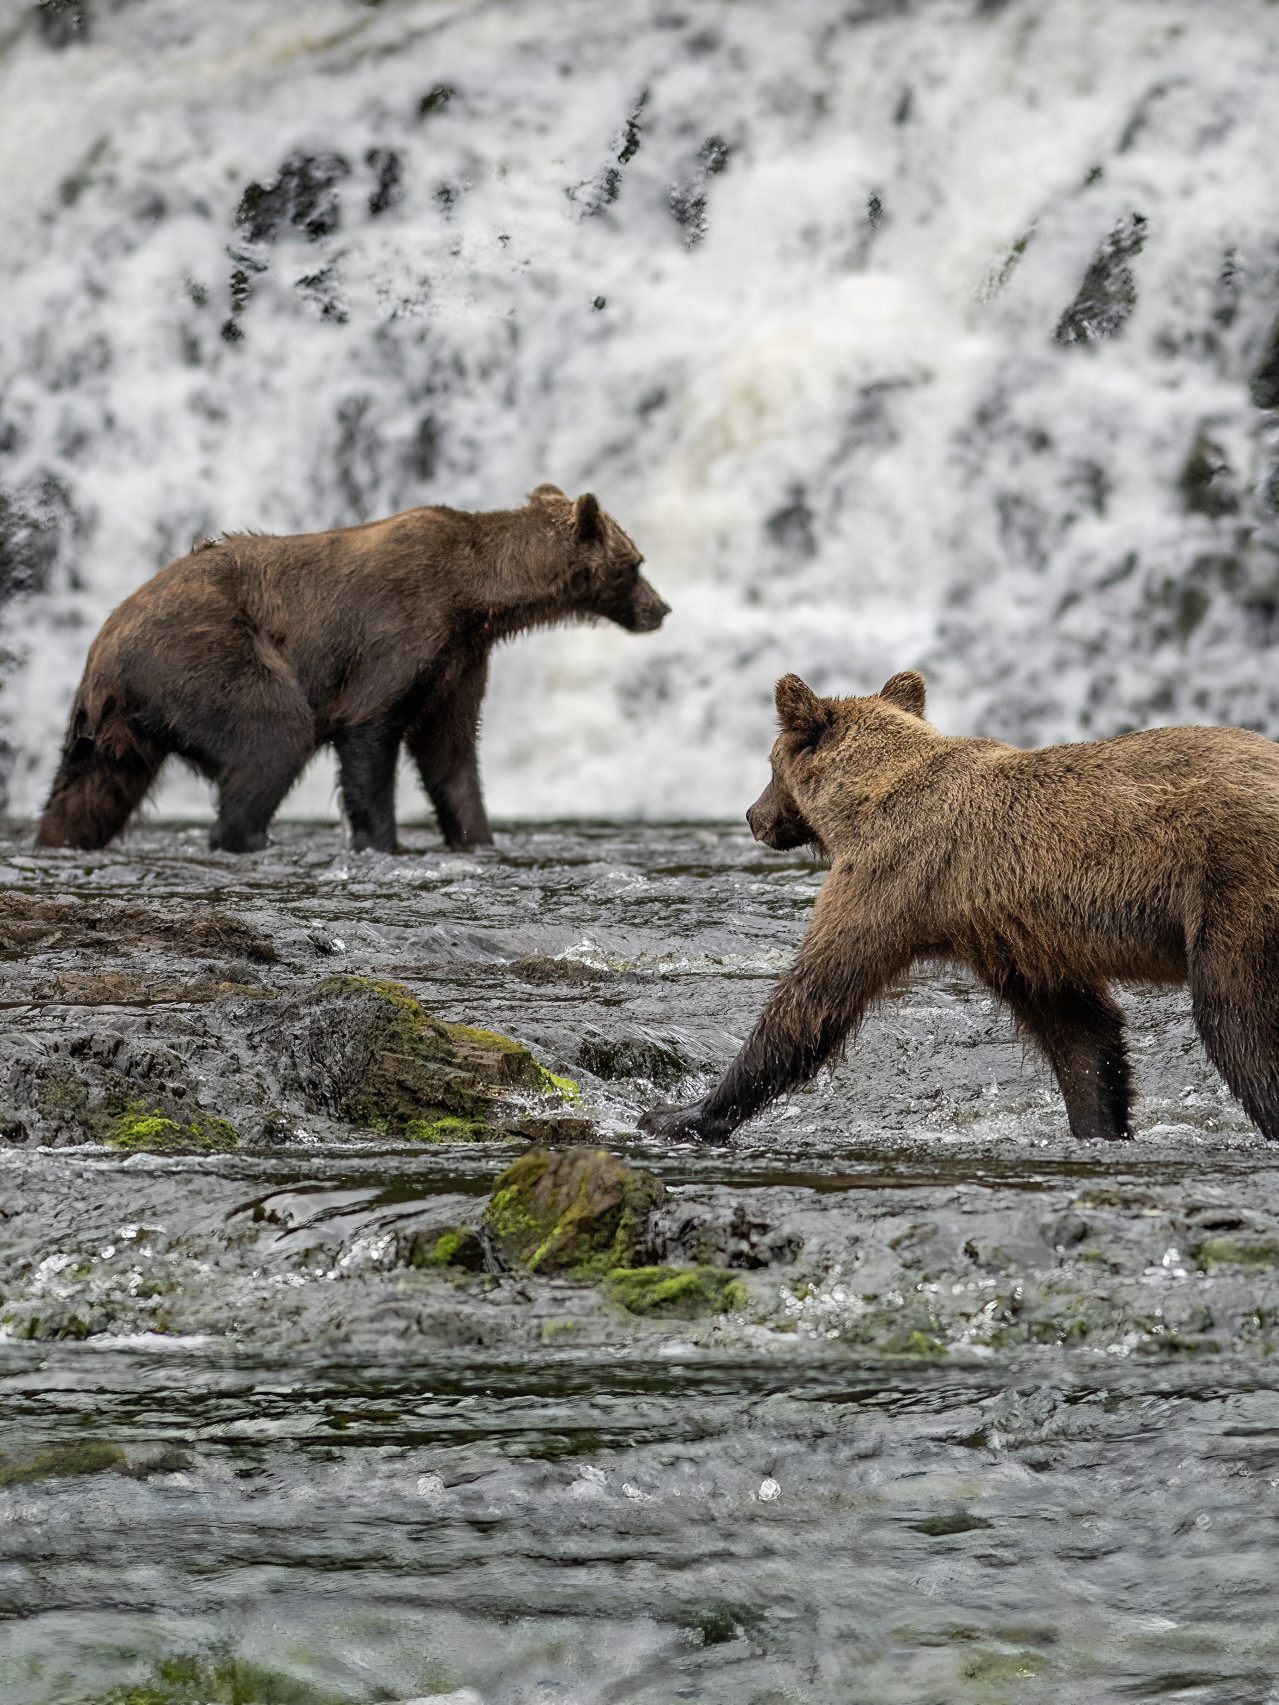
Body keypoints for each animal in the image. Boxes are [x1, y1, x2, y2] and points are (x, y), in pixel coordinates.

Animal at [36, 486, 668, 854]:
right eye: (636, 562)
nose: (661, 608)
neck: (478, 598)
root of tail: (102, 649)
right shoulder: (403, 630)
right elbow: (369, 729)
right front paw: (382, 841)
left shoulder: (459, 661)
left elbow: (451, 754)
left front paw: (477, 838)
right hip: (203, 653)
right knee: (273, 732)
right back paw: (248, 837)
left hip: (118, 724)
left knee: (92, 790)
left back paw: (62, 838)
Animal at [640, 669, 1279, 1145]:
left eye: (769, 764)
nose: (753, 816)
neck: (865, 803)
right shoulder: (1006, 932)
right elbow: (1079, 1032)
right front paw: (1100, 1123)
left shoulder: (890, 880)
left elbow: (813, 999)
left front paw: (679, 1114)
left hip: (1235, 892)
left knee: (1235, 1017)